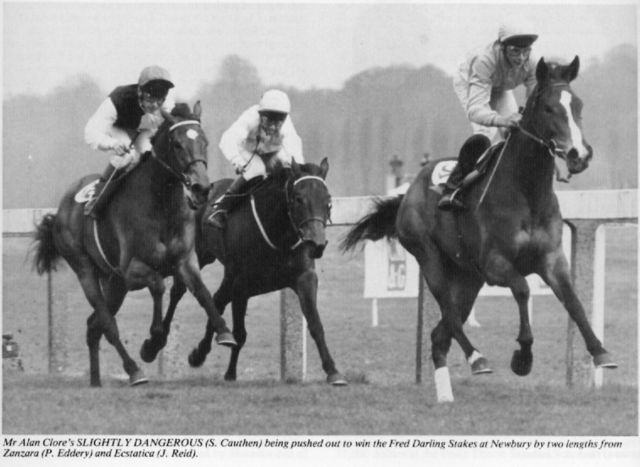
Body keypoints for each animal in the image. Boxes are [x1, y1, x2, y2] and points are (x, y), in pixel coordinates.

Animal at [32, 102, 236, 387]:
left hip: (114, 283)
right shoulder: (131, 270)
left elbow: (202, 292)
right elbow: (159, 285)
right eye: (176, 144)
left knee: (93, 326)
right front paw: (152, 342)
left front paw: (224, 332)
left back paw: (96, 381)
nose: (201, 187)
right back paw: (134, 371)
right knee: (107, 325)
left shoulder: (185, 260)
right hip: (86, 270)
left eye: (204, 141)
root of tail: (61, 209)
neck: (162, 204)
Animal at [142, 157, 347, 385]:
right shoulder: (241, 284)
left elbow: (315, 324)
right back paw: (155, 344)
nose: (316, 243)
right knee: (180, 292)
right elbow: (240, 333)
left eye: (328, 200)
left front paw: (333, 371)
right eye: (298, 198)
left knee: (217, 299)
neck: (279, 235)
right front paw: (230, 373)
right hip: (198, 255)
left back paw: (200, 352)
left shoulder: (304, 278)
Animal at [341, 57, 616, 400]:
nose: (580, 154)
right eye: (549, 108)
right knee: (450, 317)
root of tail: (409, 191)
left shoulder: (552, 259)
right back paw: (476, 358)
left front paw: (600, 352)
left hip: (467, 278)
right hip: (429, 259)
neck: (526, 192)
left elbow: (574, 301)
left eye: (578, 105)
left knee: (440, 334)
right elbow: (523, 290)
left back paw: (446, 396)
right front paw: (522, 357)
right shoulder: (495, 264)